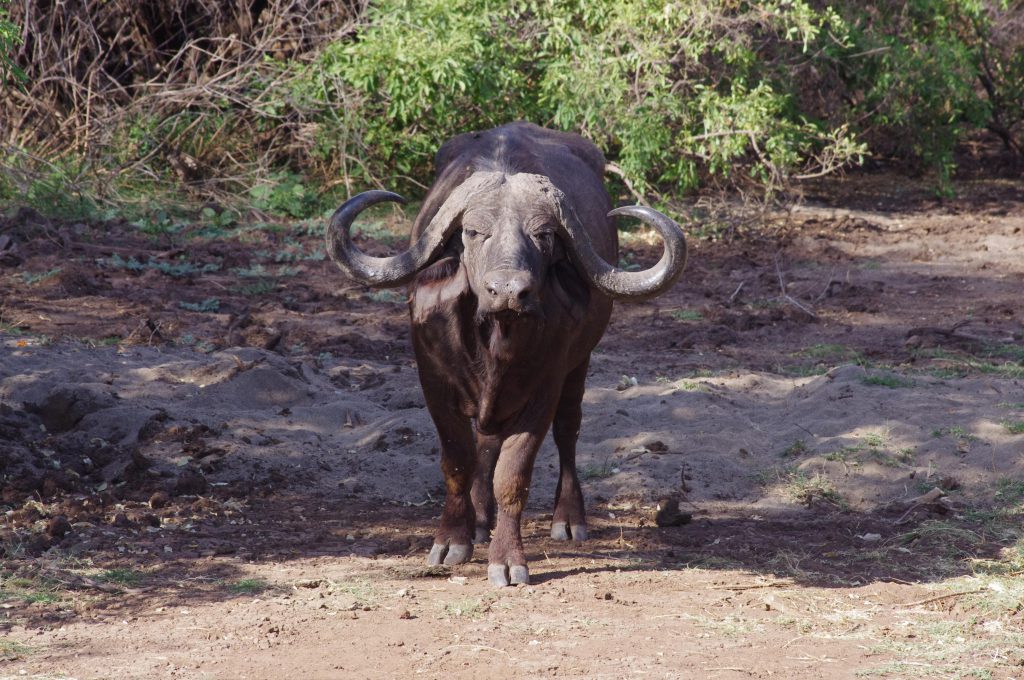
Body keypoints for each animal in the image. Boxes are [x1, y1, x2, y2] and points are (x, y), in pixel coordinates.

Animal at [323, 120, 684, 585]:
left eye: (543, 235)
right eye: (474, 232)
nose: (509, 291)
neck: (495, 341)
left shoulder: (543, 390)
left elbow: (513, 475)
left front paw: (507, 559)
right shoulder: (434, 383)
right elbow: (458, 460)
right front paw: (452, 540)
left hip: (578, 366)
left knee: (567, 431)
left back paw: (568, 518)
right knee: (484, 443)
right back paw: (479, 521)